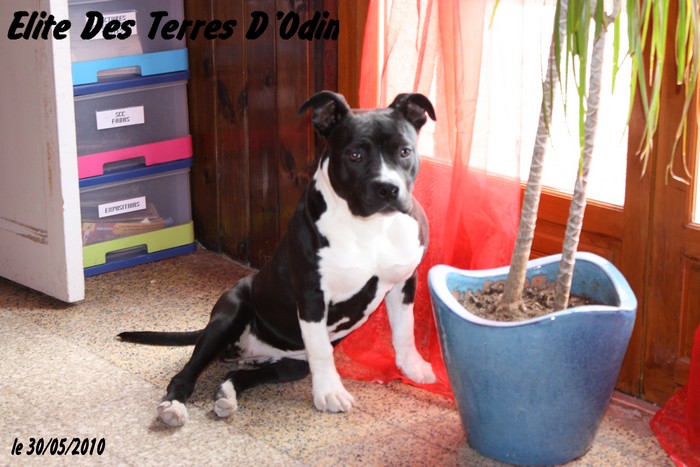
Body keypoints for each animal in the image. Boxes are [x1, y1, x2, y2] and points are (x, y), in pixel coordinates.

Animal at [118, 91, 437, 427]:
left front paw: (413, 367)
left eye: (404, 151)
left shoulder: (404, 281)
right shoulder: (311, 294)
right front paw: (330, 392)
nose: (388, 189)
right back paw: (174, 406)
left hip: (289, 365)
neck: (369, 226)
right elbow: (322, 349)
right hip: (229, 315)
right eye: (354, 155)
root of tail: (250, 351)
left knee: (238, 375)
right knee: (187, 373)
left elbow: (404, 330)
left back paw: (226, 396)